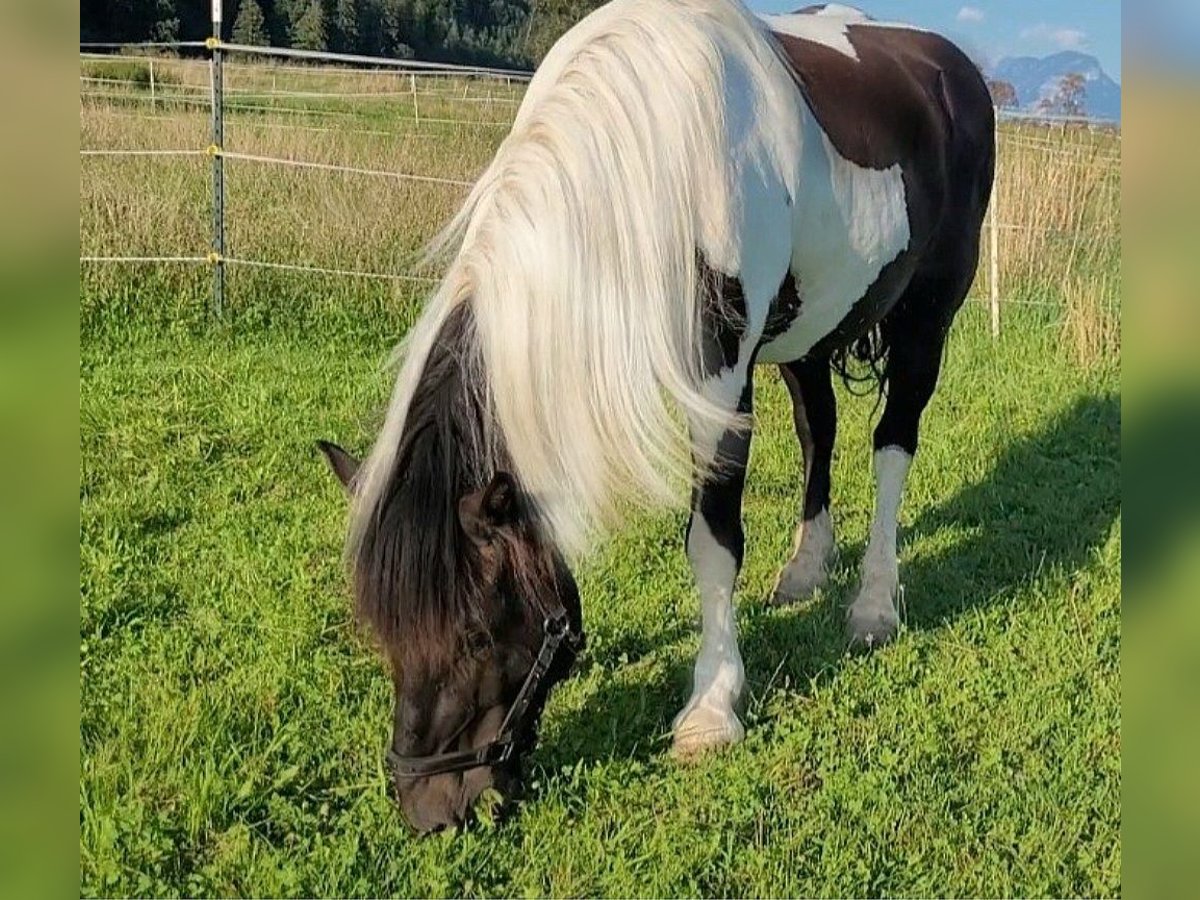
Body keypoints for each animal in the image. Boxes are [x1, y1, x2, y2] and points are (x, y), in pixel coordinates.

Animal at [319, 0, 993, 835]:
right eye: (382, 632)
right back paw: (804, 573)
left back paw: (872, 605)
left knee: (893, 447)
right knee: (821, 429)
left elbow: (713, 541)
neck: (653, 160)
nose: (427, 809)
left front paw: (711, 709)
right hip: (811, 331)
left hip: (929, 314)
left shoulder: (723, 375)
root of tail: (949, 67)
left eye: (475, 632)